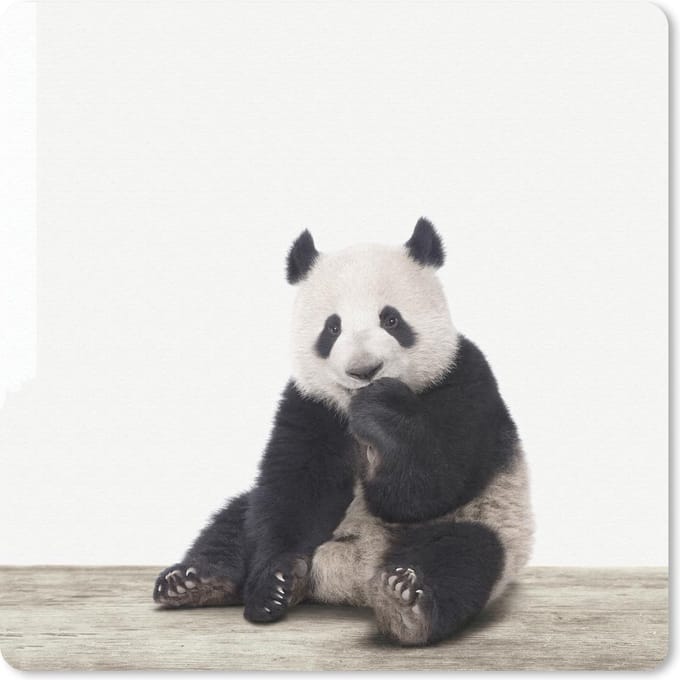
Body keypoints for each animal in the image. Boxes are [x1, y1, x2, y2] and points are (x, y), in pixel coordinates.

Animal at [153, 218, 533, 646]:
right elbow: (296, 490)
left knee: (464, 556)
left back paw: (406, 602)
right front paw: (274, 584)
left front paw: (383, 411)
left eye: (391, 320)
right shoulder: (311, 405)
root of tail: (351, 578)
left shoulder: (464, 379)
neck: (351, 408)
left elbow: (430, 486)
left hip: (491, 522)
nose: (364, 370)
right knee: (236, 520)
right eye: (332, 328)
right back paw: (196, 581)